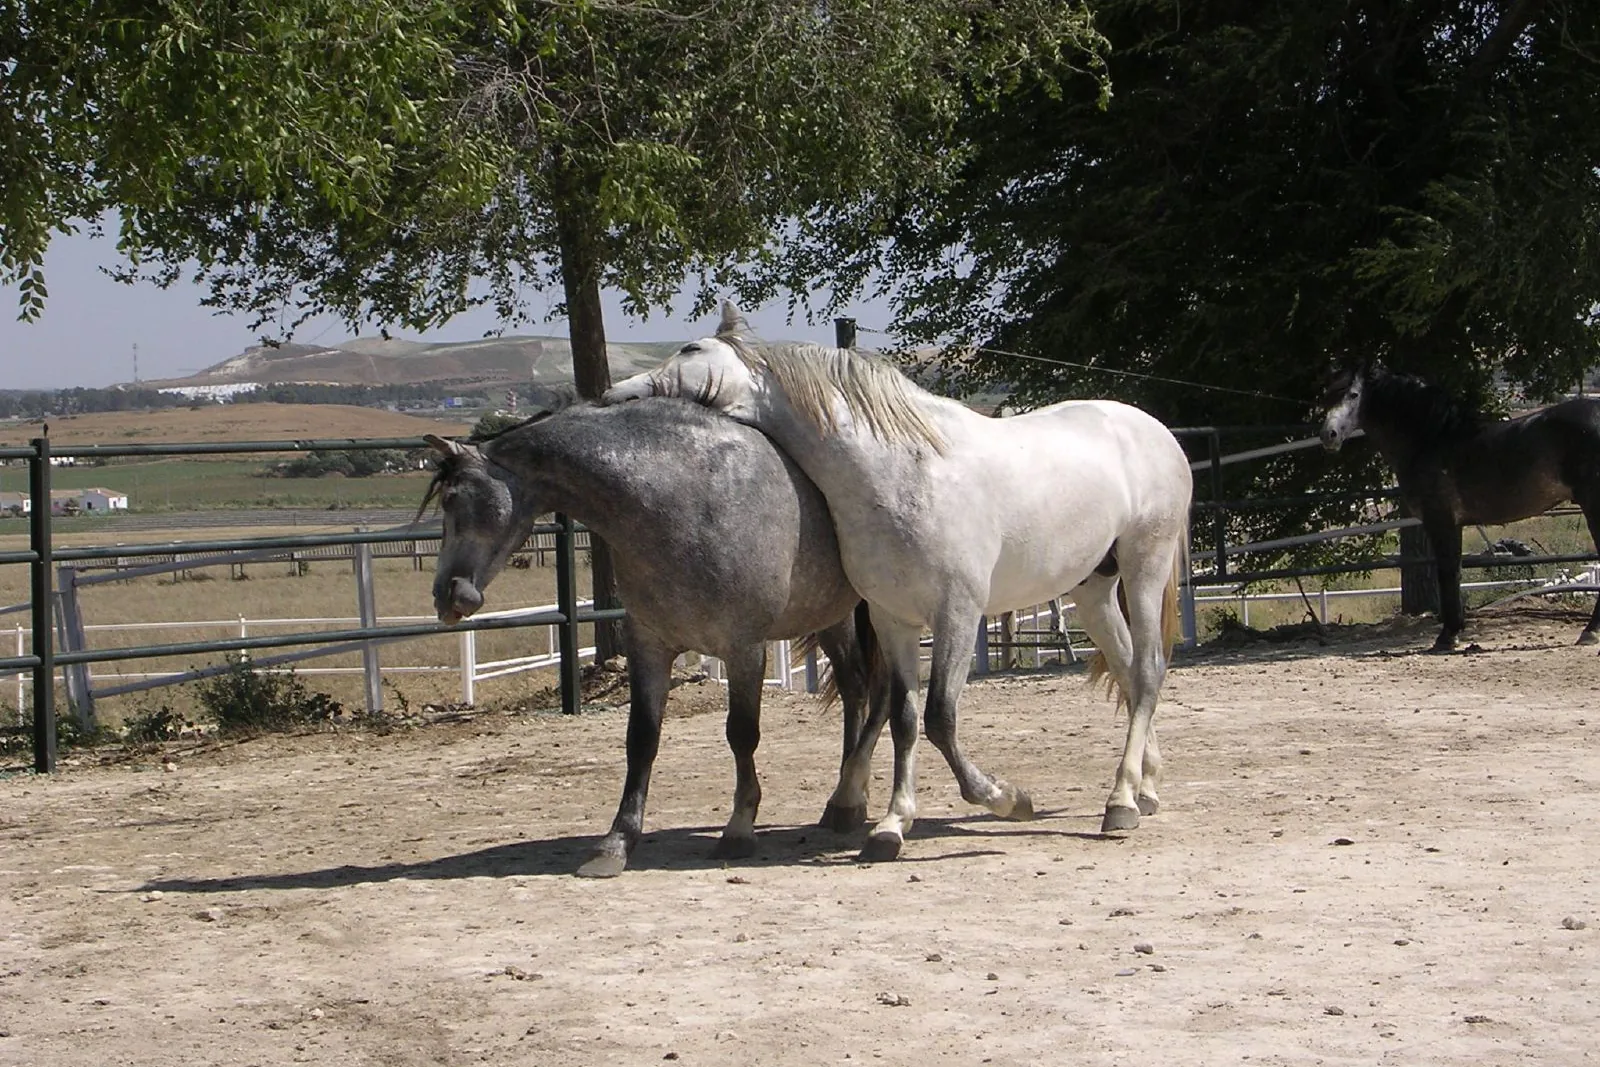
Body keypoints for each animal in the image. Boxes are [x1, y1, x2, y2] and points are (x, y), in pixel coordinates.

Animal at [419, 396, 888, 877]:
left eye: (452, 499)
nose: (446, 594)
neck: (684, 500)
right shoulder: (648, 646)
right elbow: (641, 739)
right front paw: (616, 842)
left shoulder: (744, 649)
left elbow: (742, 734)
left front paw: (739, 828)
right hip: (831, 617)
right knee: (854, 688)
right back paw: (845, 802)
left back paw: (849, 802)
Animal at [603, 302, 1193, 855]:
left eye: (691, 348)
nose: (613, 394)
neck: (904, 472)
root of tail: (1156, 431)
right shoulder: (894, 620)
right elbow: (905, 718)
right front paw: (891, 825)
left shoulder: (955, 615)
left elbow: (939, 719)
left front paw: (1007, 798)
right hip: (1092, 589)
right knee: (1126, 668)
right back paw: (1145, 788)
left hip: (1144, 566)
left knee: (1146, 672)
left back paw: (1120, 804)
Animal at [1320, 362, 1600, 651]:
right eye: (1325, 395)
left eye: (1354, 394)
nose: (1329, 435)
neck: (1431, 438)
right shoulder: (1453, 524)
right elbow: (1455, 572)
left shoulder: (1440, 519)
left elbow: (1447, 572)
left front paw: (1447, 636)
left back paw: (1589, 632)